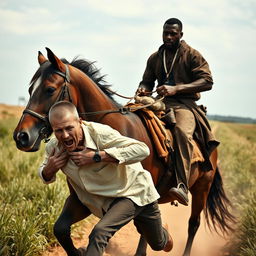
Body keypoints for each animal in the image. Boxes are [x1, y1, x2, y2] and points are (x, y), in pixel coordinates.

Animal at [13, 48, 234, 256]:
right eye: (30, 89)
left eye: (50, 89)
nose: (21, 136)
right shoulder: (79, 200)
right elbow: (60, 229)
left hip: (201, 188)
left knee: (192, 224)